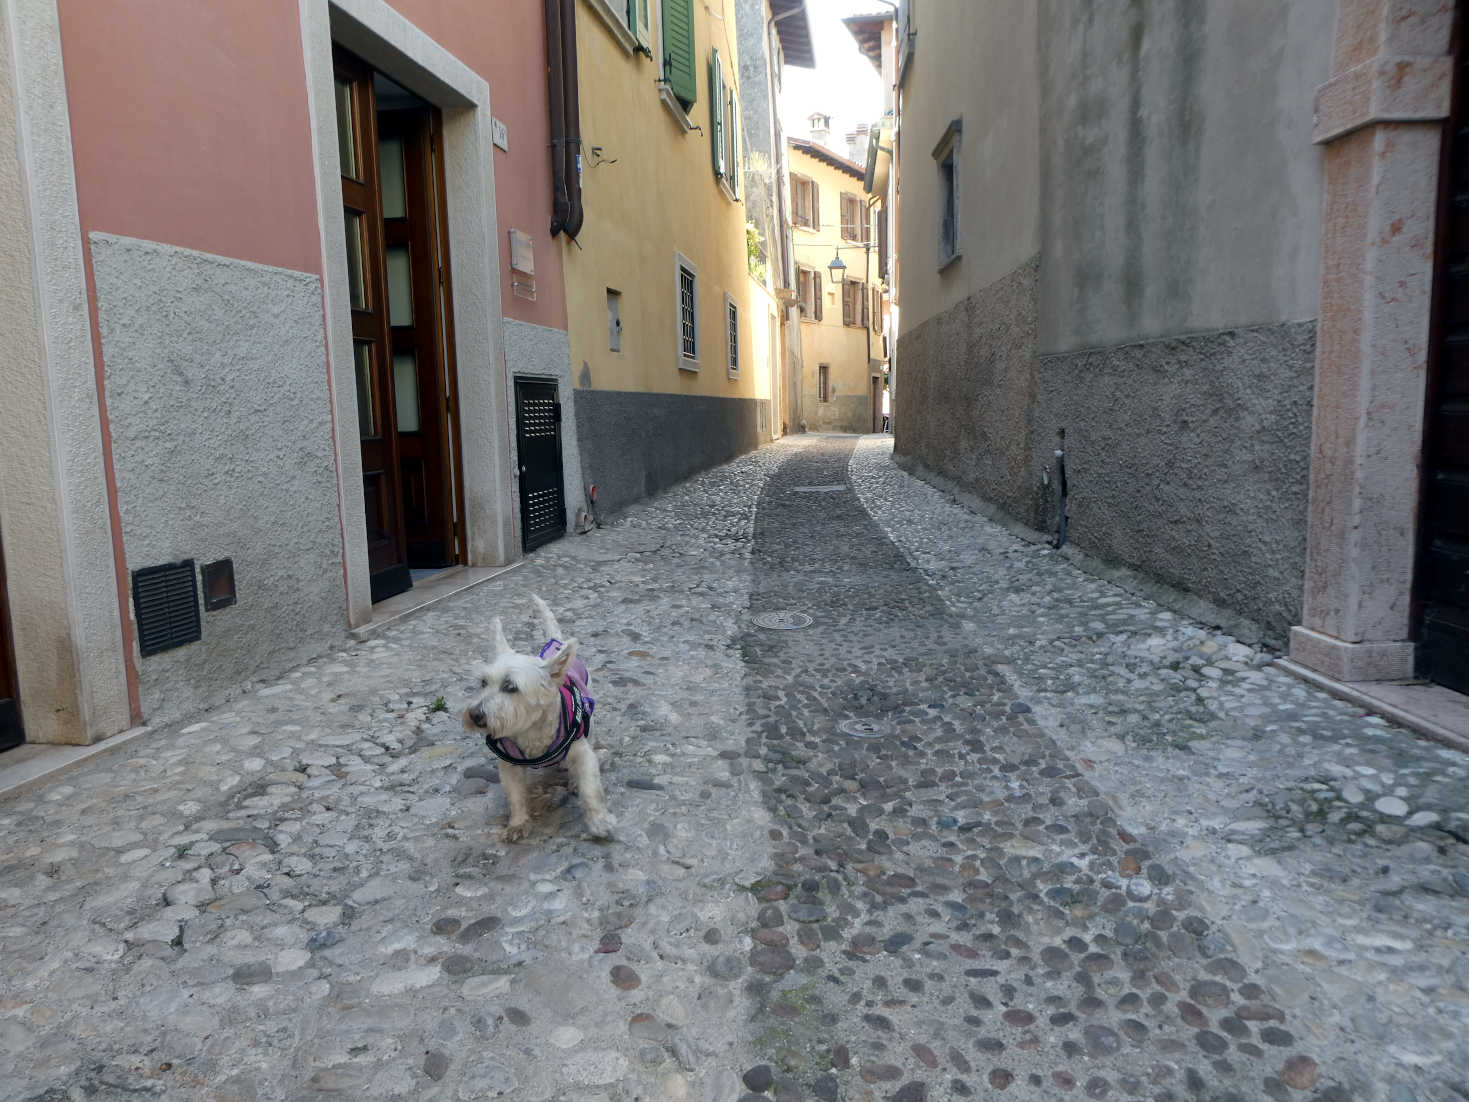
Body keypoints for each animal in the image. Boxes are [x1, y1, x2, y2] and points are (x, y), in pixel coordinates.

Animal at [464, 596, 614, 846]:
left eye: (510, 687)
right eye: (483, 683)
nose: (475, 715)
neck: (530, 731)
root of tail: (555, 642)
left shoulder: (581, 751)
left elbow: (590, 787)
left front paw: (599, 822)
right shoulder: (508, 766)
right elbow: (515, 795)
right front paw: (518, 824)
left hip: (590, 718)